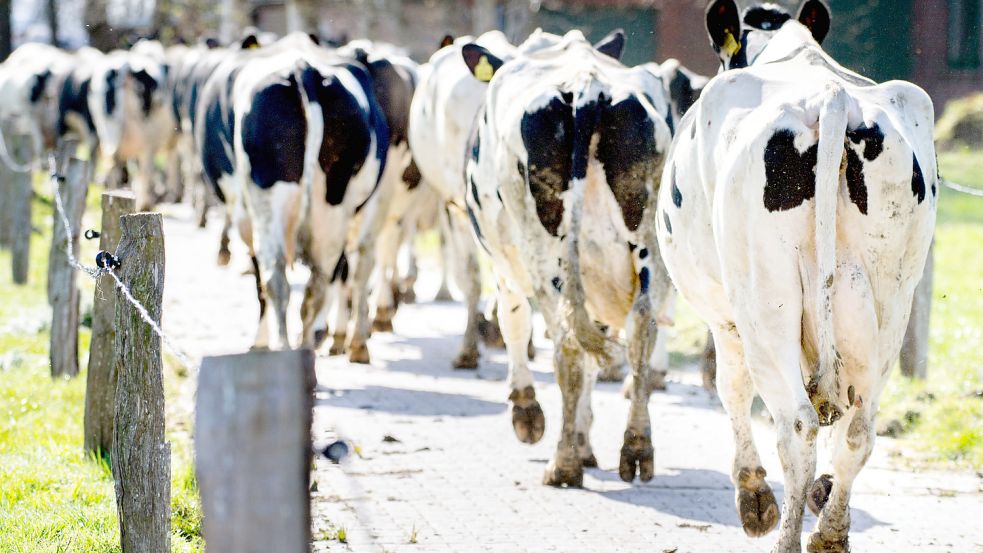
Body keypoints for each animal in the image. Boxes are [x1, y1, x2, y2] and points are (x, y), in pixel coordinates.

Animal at [462, 30, 676, 486]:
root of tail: (587, 86)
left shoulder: (505, 259)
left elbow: (512, 319)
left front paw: (527, 412)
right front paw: (584, 439)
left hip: (546, 251)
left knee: (567, 344)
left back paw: (562, 464)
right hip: (645, 238)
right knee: (641, 328)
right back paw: (636, 448)